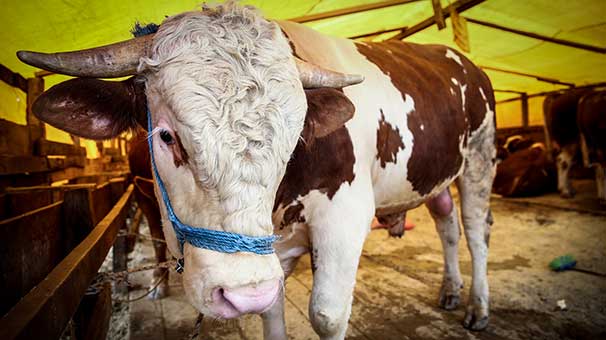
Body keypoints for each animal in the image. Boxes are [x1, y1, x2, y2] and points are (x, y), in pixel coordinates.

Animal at [17, 2, 498, 338]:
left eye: (296, 138)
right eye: (167, 136)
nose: (239, 293)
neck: (283, 203)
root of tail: (458, 57)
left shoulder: (345, 216)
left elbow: (327, 314)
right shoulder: (272, 252)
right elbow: (271, 312)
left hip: (480, 157)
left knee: (475, 230)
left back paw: (477, 307)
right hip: (436, 174)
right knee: (447, 225)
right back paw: (450, 290)